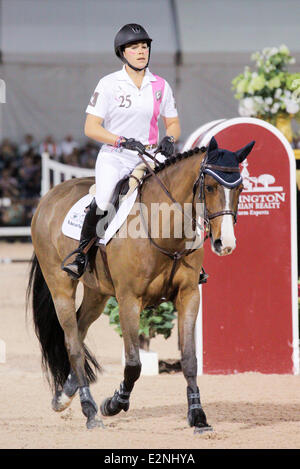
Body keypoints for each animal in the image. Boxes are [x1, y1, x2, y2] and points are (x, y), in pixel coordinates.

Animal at [27, 135, 254, 432]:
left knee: (78, 329)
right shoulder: (129, 300)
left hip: (97, 293)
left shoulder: (189, 295)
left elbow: (189, 359)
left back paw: (65, 395)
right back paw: (90, 411)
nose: (224, 243)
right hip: (61, 286)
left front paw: (198, 416)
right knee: (73, 343)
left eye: (240, 188)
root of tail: (49, 197)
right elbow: (134, 363)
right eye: (211, 186)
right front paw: (114, 403)